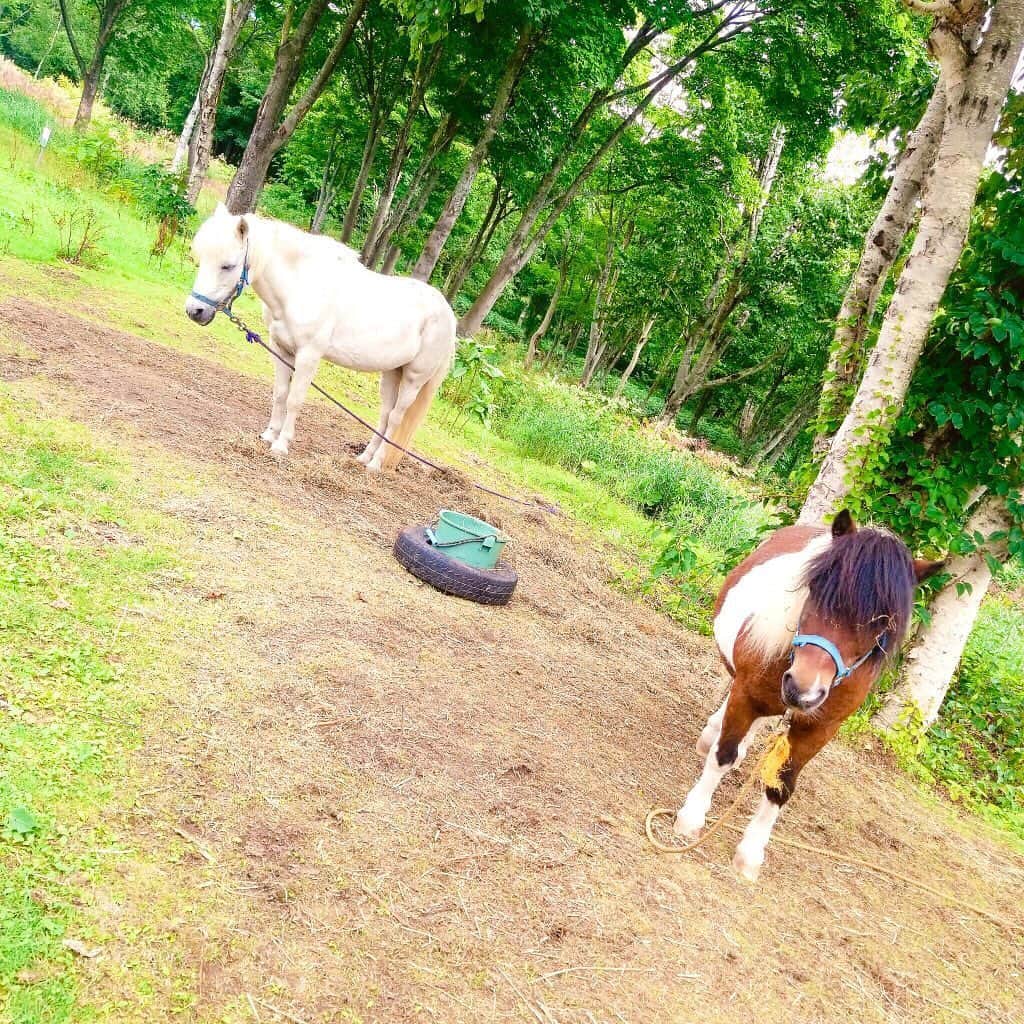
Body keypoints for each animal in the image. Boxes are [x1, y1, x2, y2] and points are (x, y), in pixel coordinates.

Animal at [185, 203, 457, 472]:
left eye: (228, 265)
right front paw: (269, 435)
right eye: (201, 258)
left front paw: (281, 445)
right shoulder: (280, 349)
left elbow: (294, 400)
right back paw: (364, 458)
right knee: (384, 415)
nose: (194, 311)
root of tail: (448, 315)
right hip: (392, 372)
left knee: (396, 418)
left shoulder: (309, 355)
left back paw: (375, 464)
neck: (300, 287)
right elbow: (280, 393)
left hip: (413, 378)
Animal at [675, 509, 943, 881]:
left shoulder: (819, 728)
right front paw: (692, 817)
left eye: (882, 622)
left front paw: (750, 854)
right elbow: (722, 755)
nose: (802, 690)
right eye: (816, 588)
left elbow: (782, 785)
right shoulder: (746, 693)